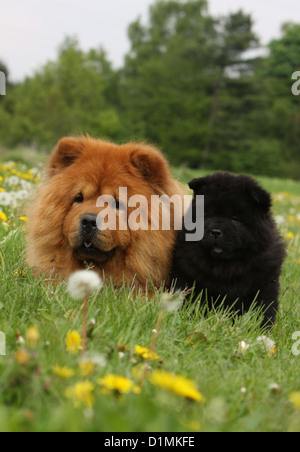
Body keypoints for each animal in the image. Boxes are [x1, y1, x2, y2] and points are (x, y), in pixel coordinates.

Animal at [171, 171, 286, 326]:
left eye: (235, 218)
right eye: (206, 215)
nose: (215, 232)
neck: (227, 266)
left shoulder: (265, 283)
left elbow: (263, 308)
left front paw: (261, 328)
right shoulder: (189, 278)